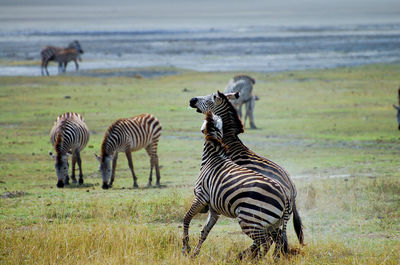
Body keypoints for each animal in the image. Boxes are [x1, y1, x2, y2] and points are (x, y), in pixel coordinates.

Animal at [182, 111, 290, 258]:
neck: (213, 157)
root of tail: (285, 197)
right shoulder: (214, 208)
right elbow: (204, 231)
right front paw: (195, 254)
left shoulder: (201, 196)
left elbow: (186, 218)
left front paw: (186, 248)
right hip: (270, 223)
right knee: (277, 240)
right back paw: (271, 259)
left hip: (250, 218)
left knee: (265, 241)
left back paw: (256, 259)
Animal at [189, 91, 304, 248]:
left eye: (208, 99)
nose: (192, 100)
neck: (227, 139)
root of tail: (291, 188)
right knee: (277, 237)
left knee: (271, 237)